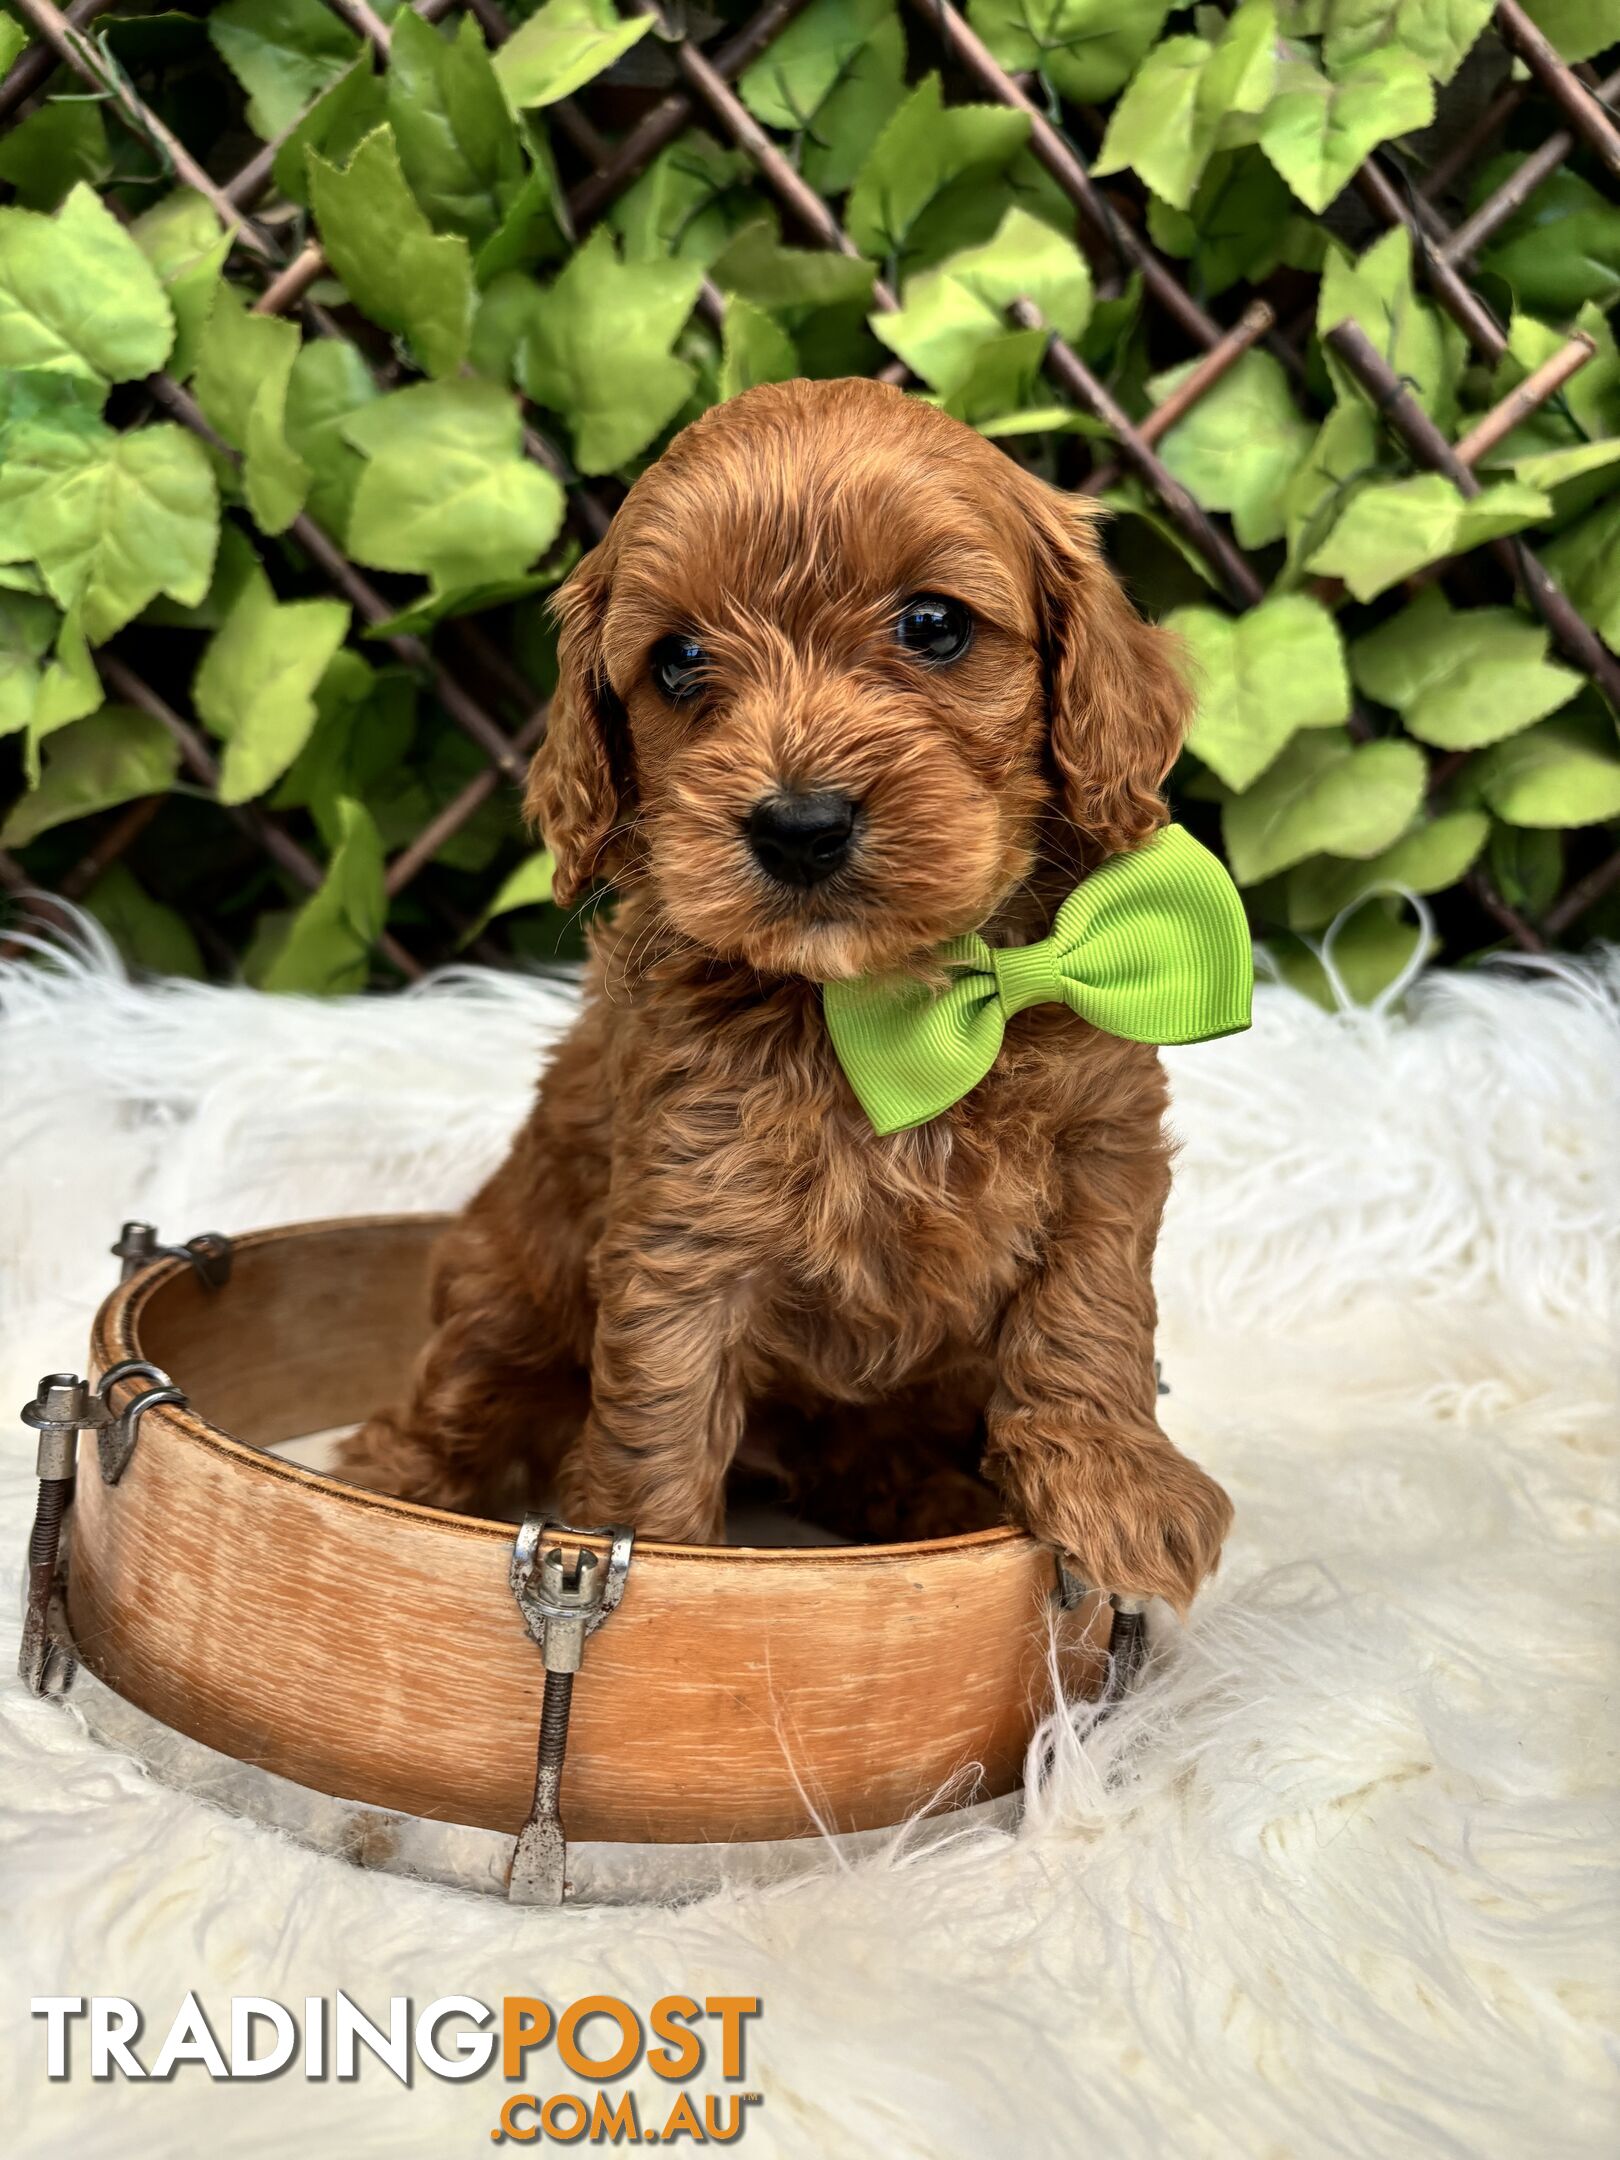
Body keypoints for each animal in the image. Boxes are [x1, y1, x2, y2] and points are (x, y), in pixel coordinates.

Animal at [336, 380, 1235, 1615]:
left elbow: (1089, 1315)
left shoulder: (1104, 1151)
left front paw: (1117, 1487)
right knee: (458, 1397)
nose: (799, 824)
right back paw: (385, 1488)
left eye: (934, 625)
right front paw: (670, 1584)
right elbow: (657, 1432)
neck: (894, 1006)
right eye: (677, 661)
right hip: (503, 1284)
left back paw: (929, 1495)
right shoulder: (685, 1225)